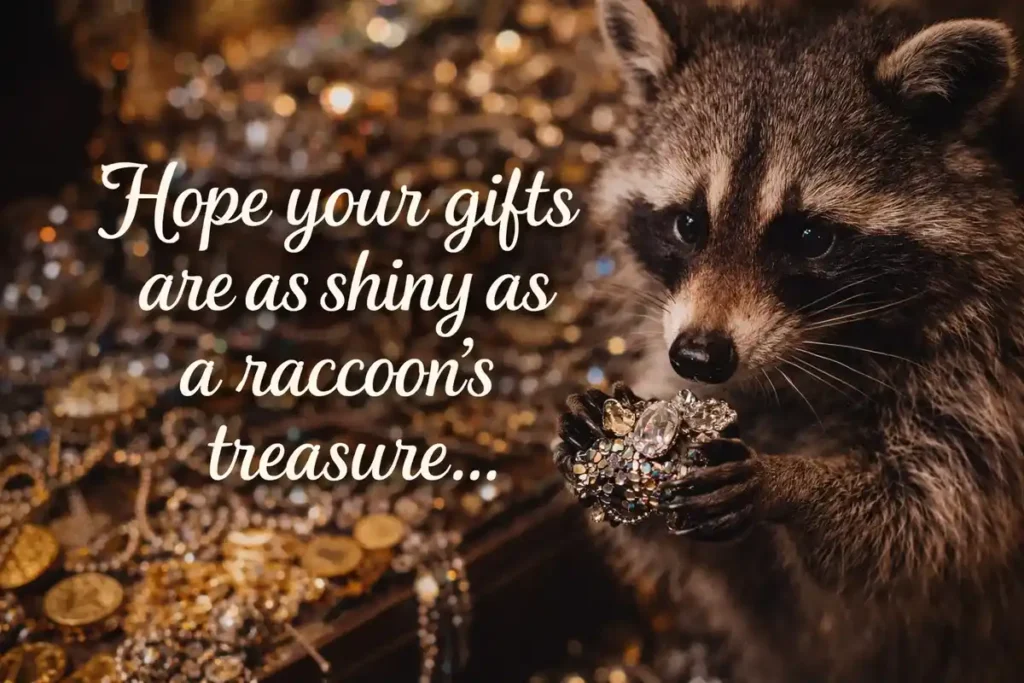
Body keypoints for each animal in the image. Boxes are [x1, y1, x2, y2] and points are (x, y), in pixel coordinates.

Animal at [556, 1, 1024, 681]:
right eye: (688, 223)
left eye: (809, 238)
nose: (699, 356)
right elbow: (727, 570)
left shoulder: (991, 372)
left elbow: (930, 525)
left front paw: (795, 483)